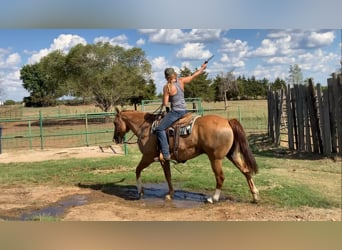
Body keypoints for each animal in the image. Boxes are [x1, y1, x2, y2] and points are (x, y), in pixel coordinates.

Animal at [113, 107, 260, 203]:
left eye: (115, 122)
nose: (115, 139)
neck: (147, 129)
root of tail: (227, 121)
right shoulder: (164, 159)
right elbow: (168, 176)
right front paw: (170, 194)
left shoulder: (148, 157)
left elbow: (137, 170)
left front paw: (140, 191)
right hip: (233, 155)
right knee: (246, 171)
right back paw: (255, 196)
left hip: (215, 158)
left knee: (220, 177)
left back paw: (213, 198)